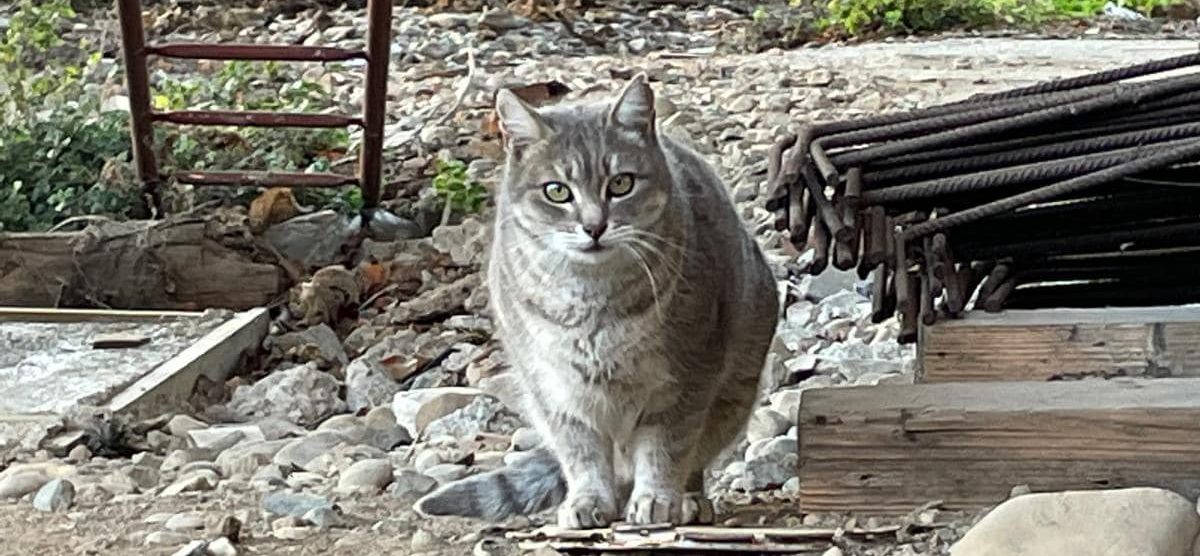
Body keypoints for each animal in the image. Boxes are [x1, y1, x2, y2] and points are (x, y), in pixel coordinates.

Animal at [417, 73, 782, 530]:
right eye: (556, 191)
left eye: (621, 184)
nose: (594, 226)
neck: (592, 304)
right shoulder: (555, 392)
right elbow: (582, 455)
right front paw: (588, 501)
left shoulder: (685, 380)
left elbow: (667, 448)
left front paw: (657, 498)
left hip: (734, 390)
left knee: (693, 455)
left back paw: (687, 500)